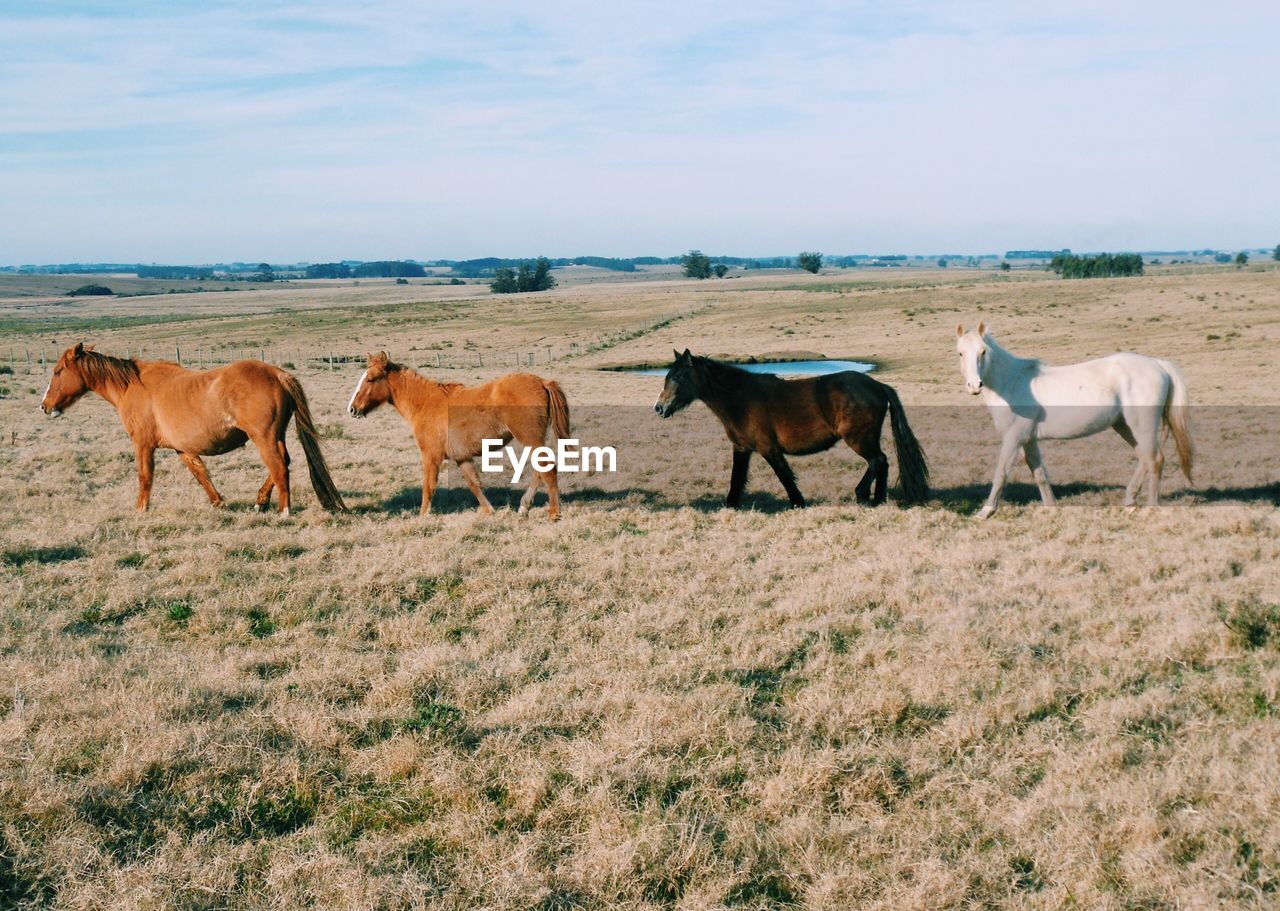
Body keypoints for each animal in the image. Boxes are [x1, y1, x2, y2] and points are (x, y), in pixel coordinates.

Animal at [40, 342, 350, 516]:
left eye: (57, 372)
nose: (44, 406)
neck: (131, 386)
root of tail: (277, 373)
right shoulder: (183, 449)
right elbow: (201, 475)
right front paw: (218, 503)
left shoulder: (143, 444)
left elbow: (145, 477)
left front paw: (141, 509)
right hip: (278, 436)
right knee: (283, 463)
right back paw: (260, 502)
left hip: (263, 438)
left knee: (278, 468)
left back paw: (283, 511)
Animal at [350, 350, 570, 519]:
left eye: (370, 379)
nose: (352, 409)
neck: (425, 403)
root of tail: (542, 382)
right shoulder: (462, 457)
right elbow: (474, 484)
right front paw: (489, 511)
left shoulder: (431, 457)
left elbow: (428, 486)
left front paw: (422, 517)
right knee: (540, 470)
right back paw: (524, 507)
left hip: (530, 439)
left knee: (547, 470)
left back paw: (553, 513)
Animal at [655, 348, 926, 509]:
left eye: (678, 377)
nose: (659, 407)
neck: (741, 399)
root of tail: (878, 386)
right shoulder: (741, 449)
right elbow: (736, 479)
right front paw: (730, 505)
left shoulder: (769, 449)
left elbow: (784, 476)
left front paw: (798, 502)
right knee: (883, 462)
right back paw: (878, 499)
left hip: (859, 439)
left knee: (877, 461)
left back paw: (862, 495)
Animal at [957, 323, 1192, 516]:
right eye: (960, 353)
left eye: (983, 351)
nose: (974, 386)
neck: (1012, 382)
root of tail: (1159, 364)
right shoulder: (1029, 439)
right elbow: (1039, 472)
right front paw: (1050, 508)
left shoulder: (1014, 438)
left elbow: (1001, 473)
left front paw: (985, 512)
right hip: (1125, 426)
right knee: (1144, 457)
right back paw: (1129, 502)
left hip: (1142, 426)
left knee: (1155, 459)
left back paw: (1151, 507)